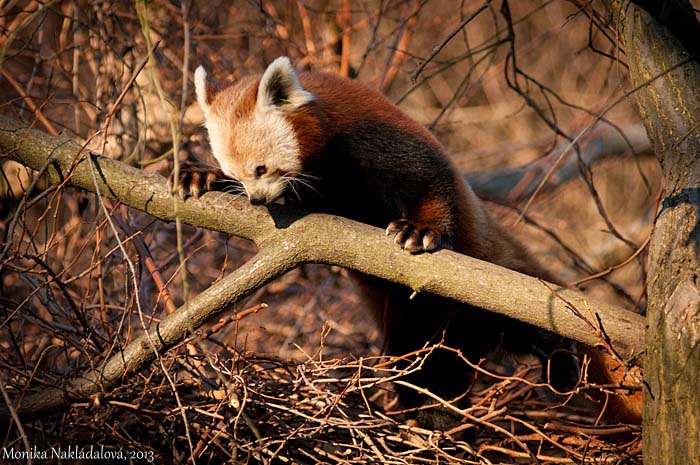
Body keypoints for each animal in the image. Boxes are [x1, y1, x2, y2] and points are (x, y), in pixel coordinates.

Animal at [178, 55, 644, 428]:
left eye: (262, 168)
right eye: (238, 175)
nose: (258, 200)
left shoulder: (376, 140)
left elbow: (429, 184)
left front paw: (422, 229)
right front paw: (201, 174)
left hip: (501, 287)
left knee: (530, 325)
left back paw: (560, 365)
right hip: (415, 327)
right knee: (425, 370)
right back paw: (436, 415)